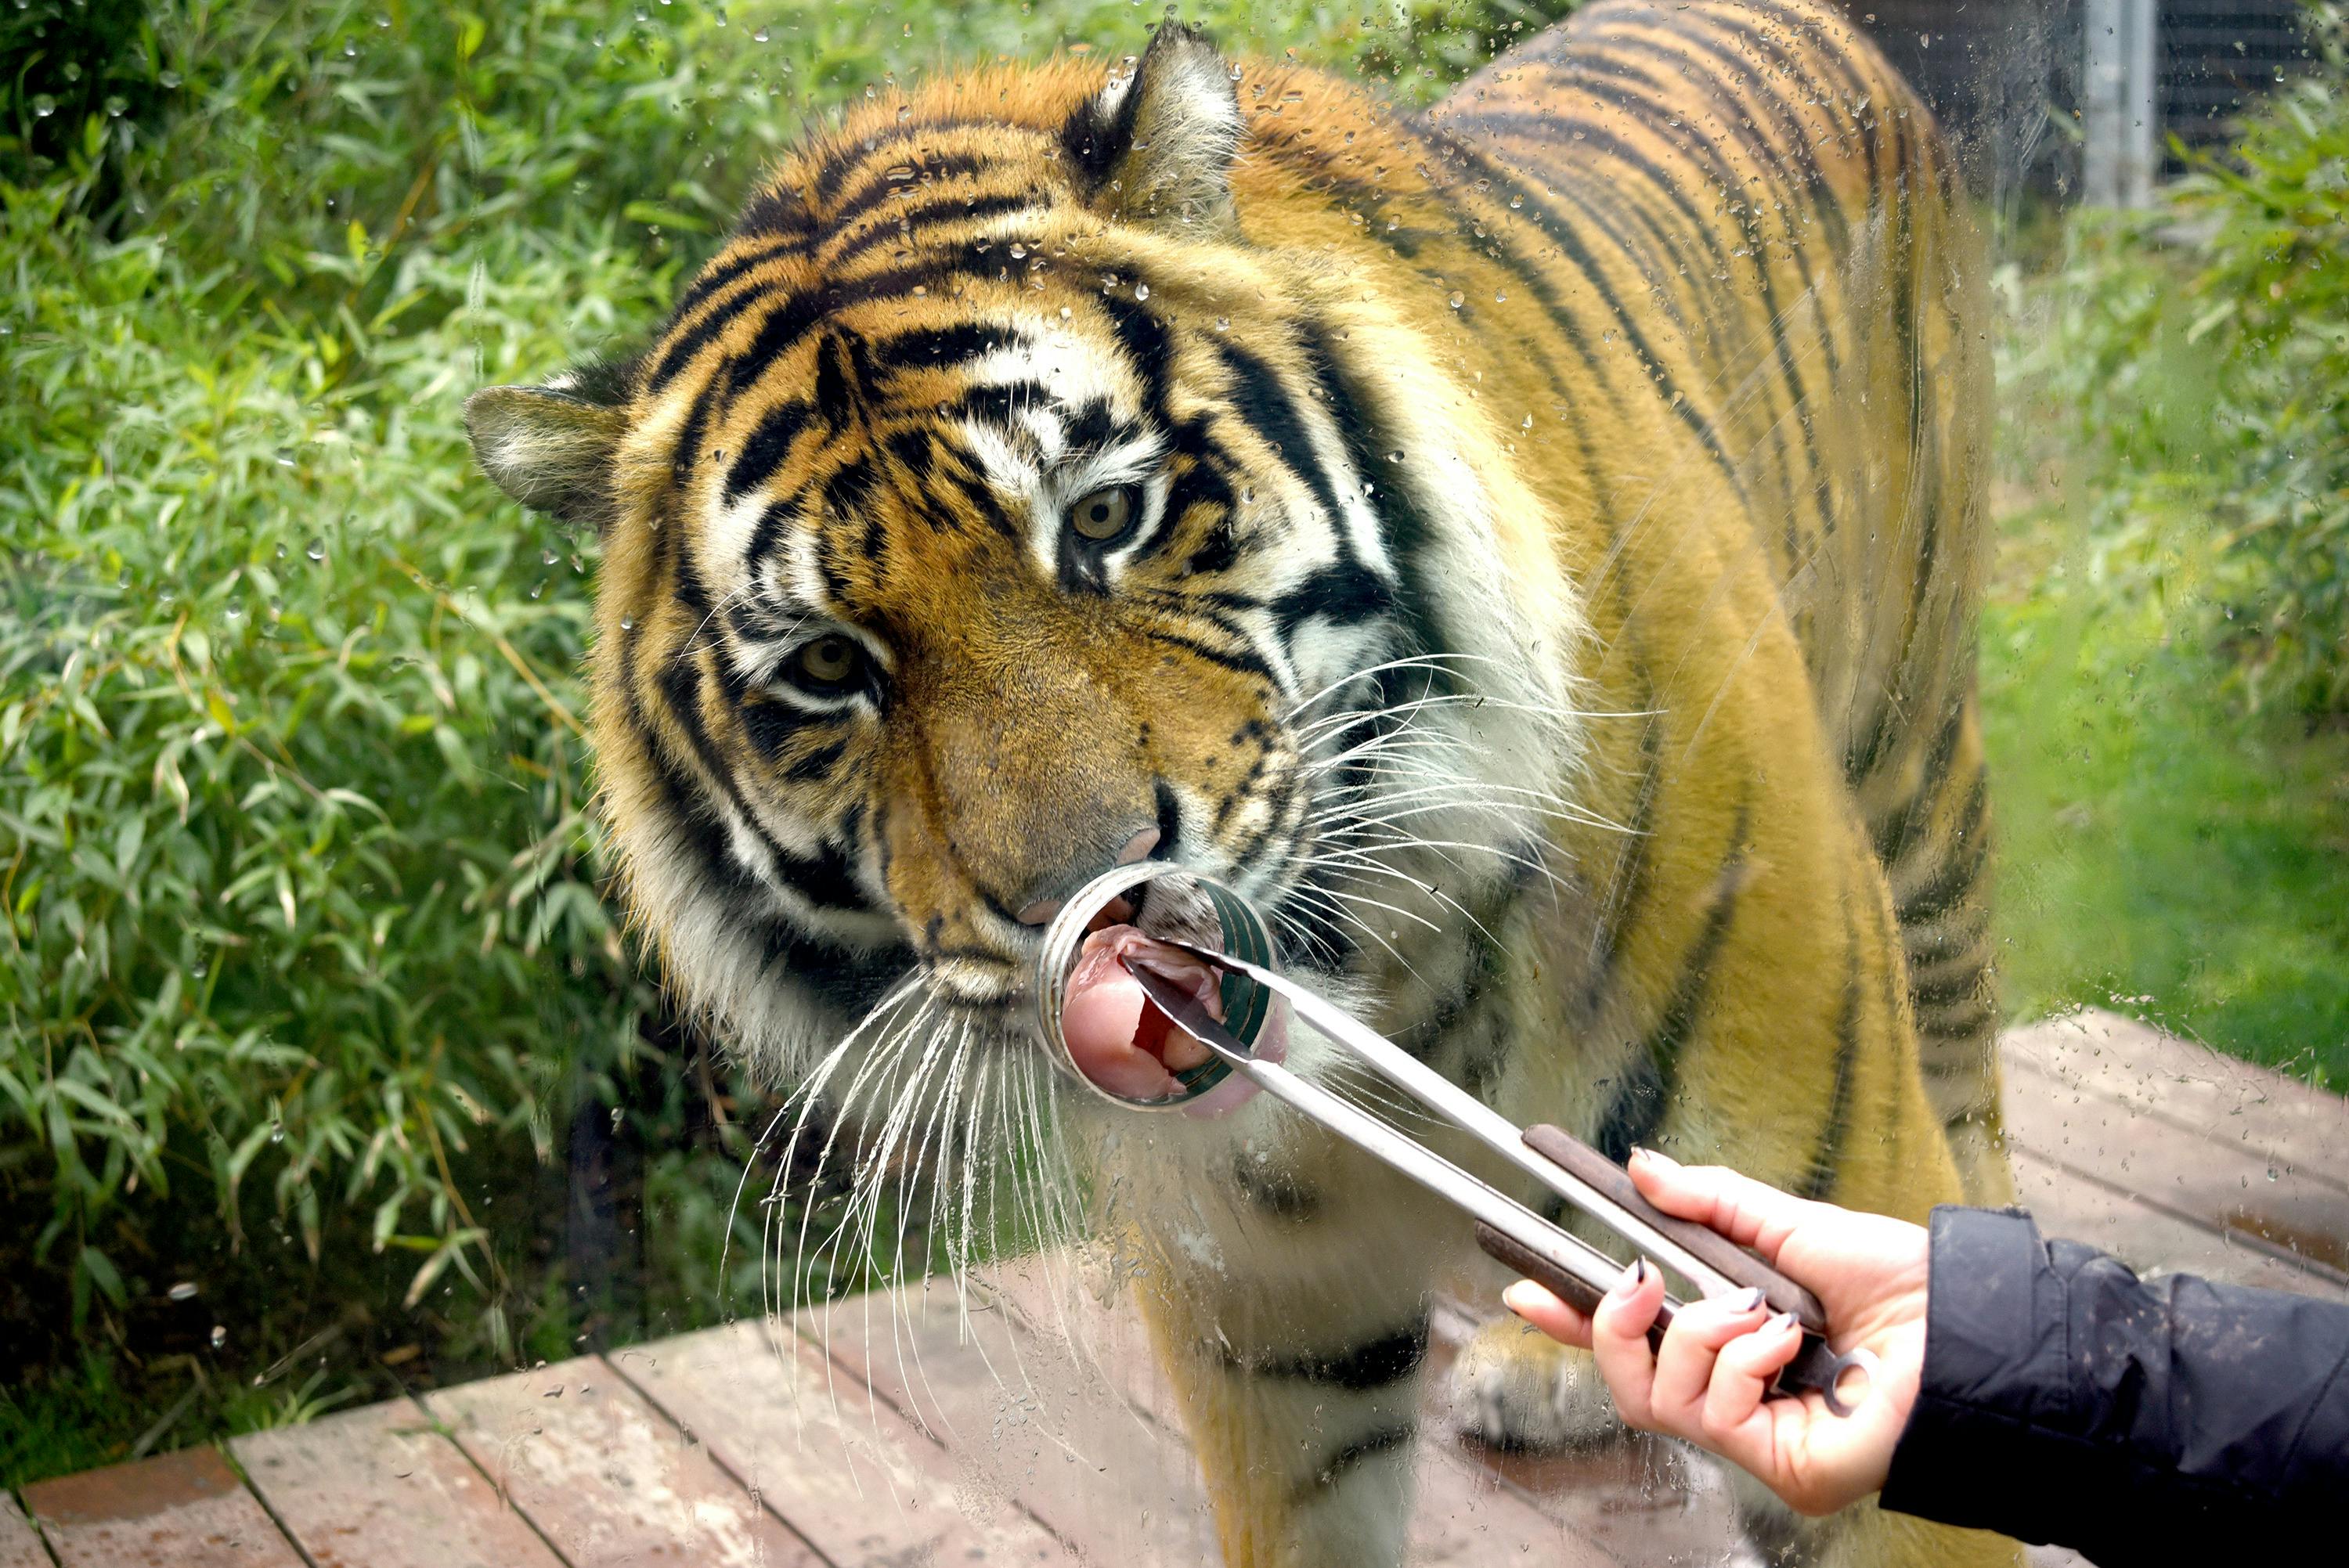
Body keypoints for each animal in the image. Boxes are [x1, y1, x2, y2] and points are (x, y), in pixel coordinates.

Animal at [465, 2, 2017, 1564]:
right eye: (832, 664)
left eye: (1107, 515)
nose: (1092, 907)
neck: (1402, 1007)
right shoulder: (1270, 1336)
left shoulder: (1828, 1189)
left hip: (1919, 775)